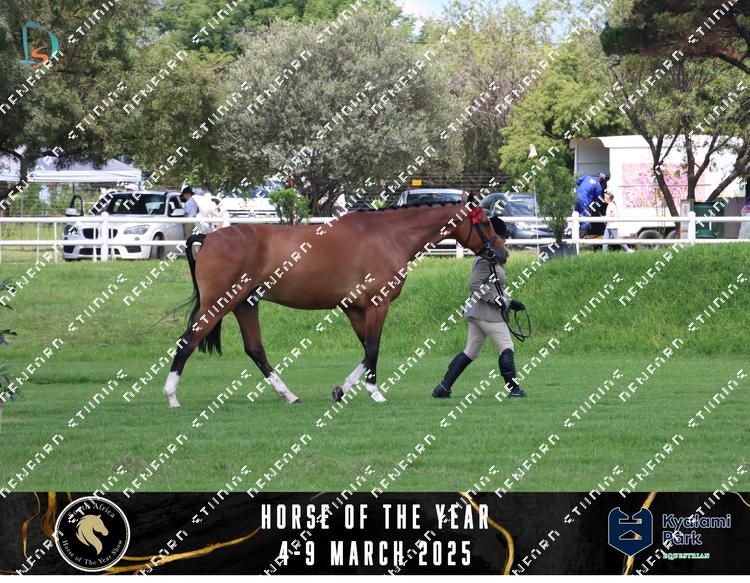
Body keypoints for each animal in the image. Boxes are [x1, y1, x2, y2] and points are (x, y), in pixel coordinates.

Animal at [162, 191, 507, 408]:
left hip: (246, 305)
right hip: (218, 305)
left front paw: (342, 389)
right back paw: (171, 396)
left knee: (255, 350)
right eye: (484, 223)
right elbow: (373, 348)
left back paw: (290, 396)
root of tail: (208, 237)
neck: (388, 236)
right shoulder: (376, 305)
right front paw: (374, 392)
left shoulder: (354, 309)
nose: (501, 254)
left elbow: (366, 350)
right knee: (188, 340)